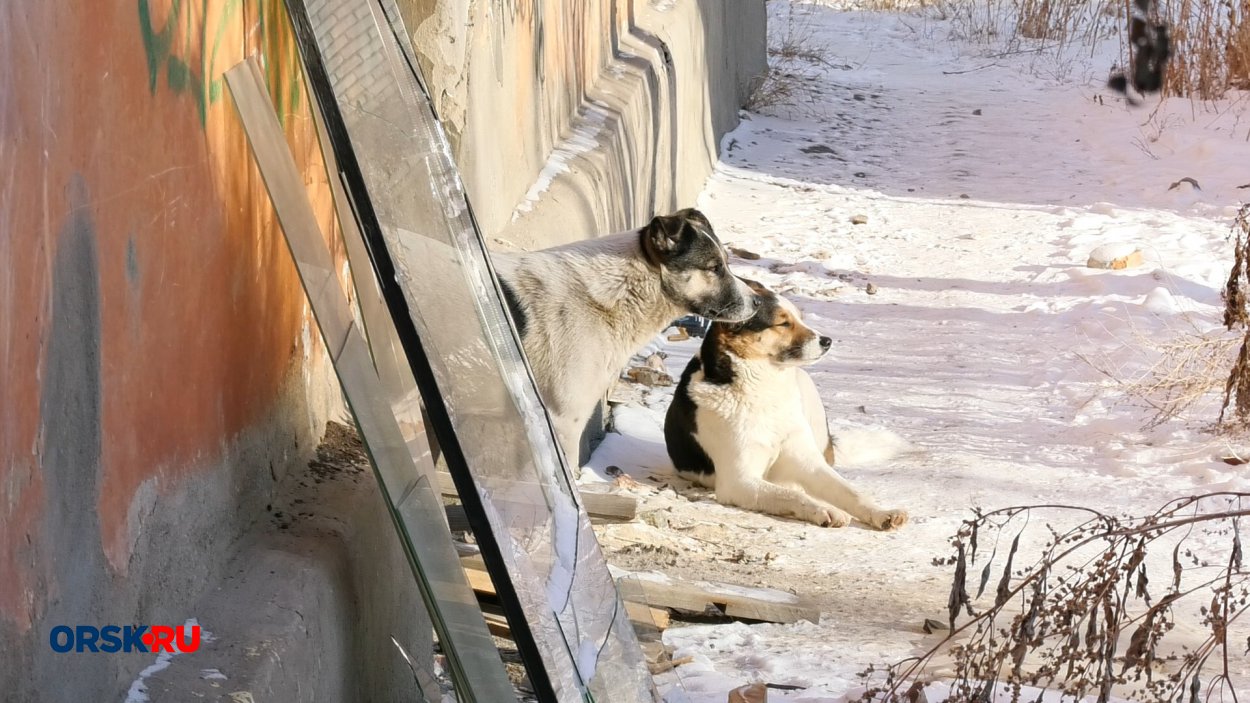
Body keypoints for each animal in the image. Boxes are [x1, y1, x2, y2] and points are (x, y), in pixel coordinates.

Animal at [665, 281, 910, 527]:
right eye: (783, 323)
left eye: (800, 318)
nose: (827, 341)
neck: (764, 389)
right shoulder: (739, 481)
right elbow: (791, 495)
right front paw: (824, 510)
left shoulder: (809, 463)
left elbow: (852, 492)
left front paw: (882, 513)